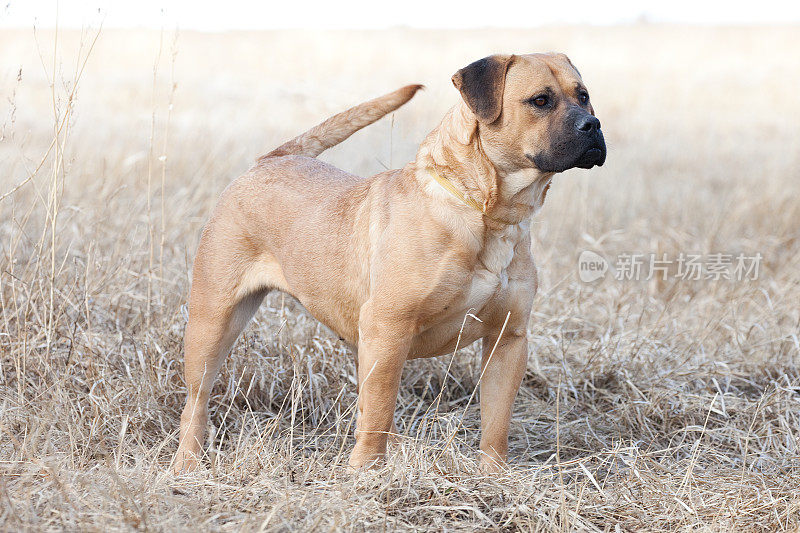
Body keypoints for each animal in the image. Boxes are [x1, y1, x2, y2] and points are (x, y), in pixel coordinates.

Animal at [172, 52, 604, 472]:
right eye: (540, 100)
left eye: (583, 95)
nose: (594, 125)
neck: (487, 213)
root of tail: (270, 160)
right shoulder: (389, 325)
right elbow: (379, 409)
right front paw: (365, 472)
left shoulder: (508, 339)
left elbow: (496, 421)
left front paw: (492, 477)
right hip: (213, 321)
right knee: (196, 399)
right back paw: (187, 463)